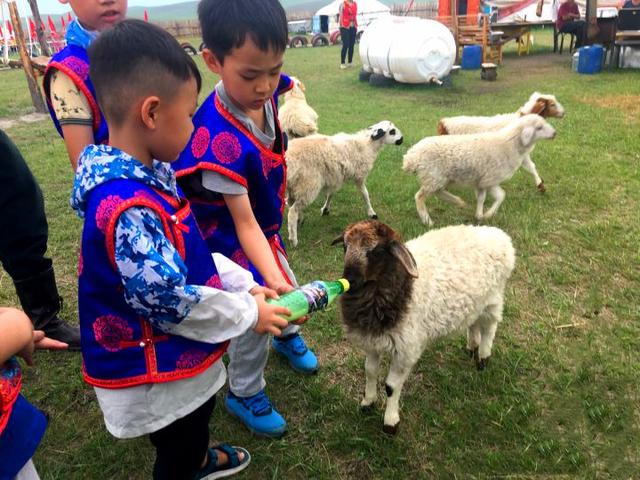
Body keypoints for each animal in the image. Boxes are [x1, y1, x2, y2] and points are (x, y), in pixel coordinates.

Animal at [286, 120, 402, 248]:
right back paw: (293, 239)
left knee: (291, 203)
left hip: (295, 185)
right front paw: (372, 213)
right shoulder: (359, 177)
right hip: (309, 184)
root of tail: (288, 158)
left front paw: (325, 209)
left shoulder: (335, 177)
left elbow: (331, 194)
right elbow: (365, 194)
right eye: (392, 131)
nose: (402, 139)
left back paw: (299, 221)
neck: (368, 145)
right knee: (292, 211)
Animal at [336, 221, 516, 436]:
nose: (349, 280)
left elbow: (391, 386)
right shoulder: (372, 342)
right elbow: (370, 372)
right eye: (345, 246)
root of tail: (498, 236)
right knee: (473, 324)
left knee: (490, 328)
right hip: (475, 303)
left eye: (377, 251)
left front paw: (390, 422)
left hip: (492, 300)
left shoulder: (406, 350)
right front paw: (368, 402)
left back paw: (483, 357)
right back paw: (472, 346)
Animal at [404, 113, 556, 227]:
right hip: (433, 176)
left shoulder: (482, 181)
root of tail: (411, 157)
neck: (509, 144)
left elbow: (482, 198)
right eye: (539, 127)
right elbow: (501, 195)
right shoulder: (491, 179)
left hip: (439, 178)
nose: (555, 133)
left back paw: (458, 202)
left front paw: (479, 215)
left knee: (438, 192)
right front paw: (489, 214)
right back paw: (427, 220)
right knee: (420, 197)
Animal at [436, 92, 564, 193]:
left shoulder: (522, 153)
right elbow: (531, 167)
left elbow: (531, 167)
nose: (563, 113)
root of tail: (443, 122)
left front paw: (541, 185)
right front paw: (540, 185)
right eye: (552, 104)